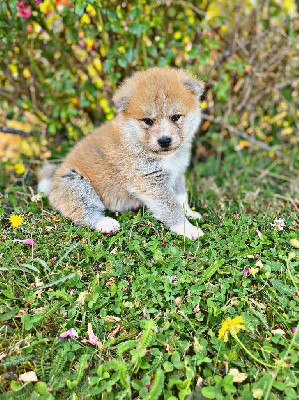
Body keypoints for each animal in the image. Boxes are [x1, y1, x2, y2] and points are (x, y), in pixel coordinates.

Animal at [37, 67, 205, 239]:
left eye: (175, 117)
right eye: (148, 121)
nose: (164, 140)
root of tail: (54, 179)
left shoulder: (177, 173)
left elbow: (181, 197)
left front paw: (189, 213)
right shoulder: (150, 181)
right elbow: (171, 207)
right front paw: (186, 228)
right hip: (76, 183)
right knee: (84, 213)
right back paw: (106, 224)